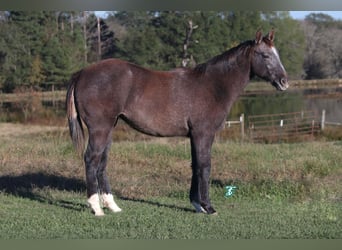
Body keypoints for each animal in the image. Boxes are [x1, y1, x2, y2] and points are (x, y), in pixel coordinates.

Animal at [66, 30, 288, 216]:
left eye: (277, 54)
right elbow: (204, 166)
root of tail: (82, 72)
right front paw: (208, 207)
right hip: (100, 129)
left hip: (109, 129)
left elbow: (195, 165)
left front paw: (197, 204)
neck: (212, 85)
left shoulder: (194, 136)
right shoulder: (203, 133)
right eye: (265, 55)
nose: (284, 82)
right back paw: (96, 207)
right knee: (91, 159)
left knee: (102, 163)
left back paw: (112, 206)